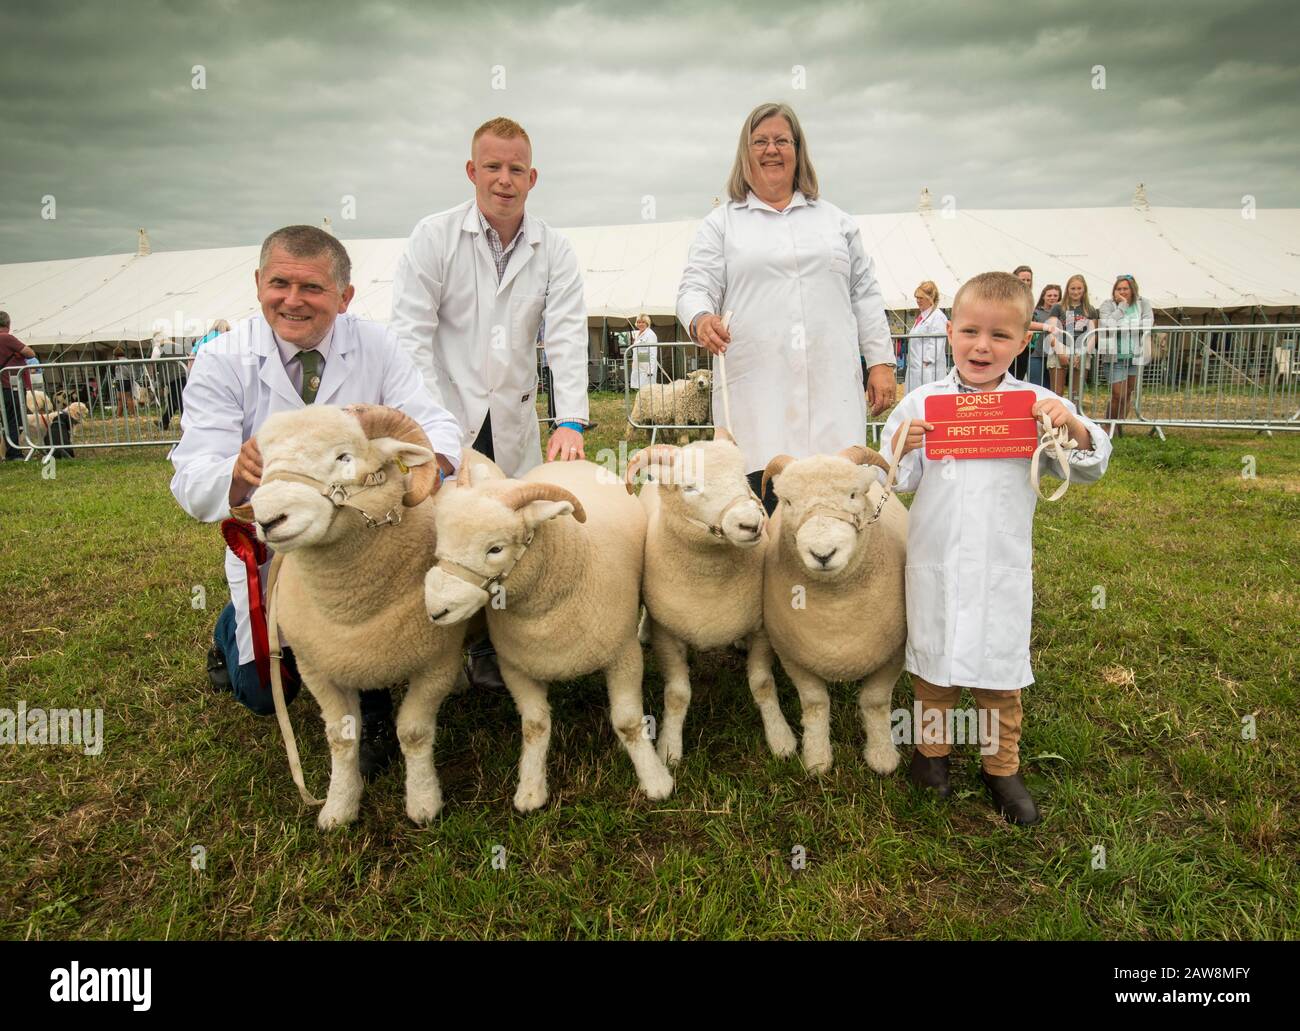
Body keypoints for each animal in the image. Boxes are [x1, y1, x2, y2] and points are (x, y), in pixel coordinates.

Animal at [248, 403, 467, 826]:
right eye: (264, 462)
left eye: (343, 458)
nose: (268, 520)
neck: (351, 608)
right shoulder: (316, 668)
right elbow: (341, 737)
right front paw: (338, 806)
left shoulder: (436, 663)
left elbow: (414, 732)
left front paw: (423, 803)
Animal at [426, 460, 676, 811]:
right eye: (442, 539)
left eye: (495, 548)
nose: (436, 609)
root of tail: (569, 459)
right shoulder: (516, 668)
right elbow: (535, 726)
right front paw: (531, 789)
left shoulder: (623, 655)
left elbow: (627, 722)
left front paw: (654, 779)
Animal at [624, 429, 795, 764]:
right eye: (689, 487)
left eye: (742, 478)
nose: (751, 523)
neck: (710, 577)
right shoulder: (669, 635)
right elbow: (677, 695)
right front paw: (669, 748)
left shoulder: (761, 628)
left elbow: (762, 684)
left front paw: (780, 737)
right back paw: (643, 631)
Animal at [759, 447, 904, 774]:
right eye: (788, 502)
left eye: (853, 494)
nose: (823, 554)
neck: (837, 610)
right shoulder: (793, 656)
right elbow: (815, 704)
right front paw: (817, 759)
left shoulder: (894, 653)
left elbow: (875, 702)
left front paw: (882, 757)